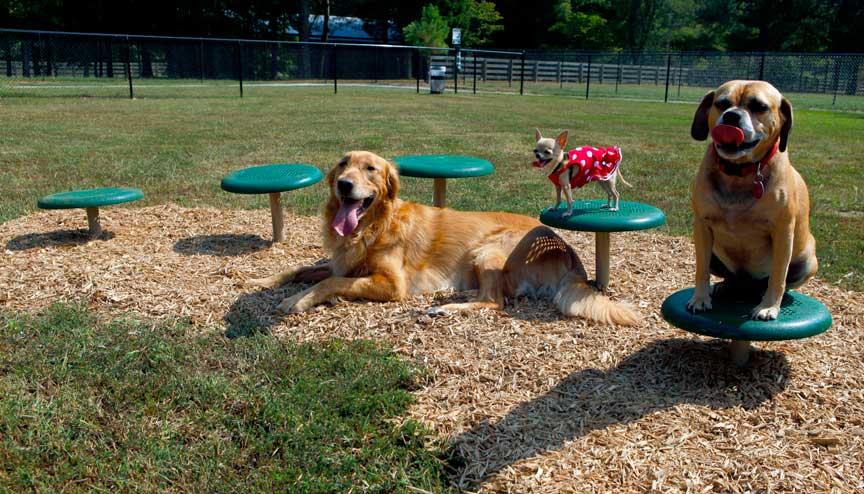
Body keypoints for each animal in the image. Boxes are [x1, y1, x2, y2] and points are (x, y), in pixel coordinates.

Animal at [253, 151, 636, 328]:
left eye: (370, 169)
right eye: (343, 164)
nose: (343, 184)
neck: (375, 226)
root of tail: (570, 254)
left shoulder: (393, 284)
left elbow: (330, 281)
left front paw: (298, 300)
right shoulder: (342, 262)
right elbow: (304, 269)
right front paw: (263, 279)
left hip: (489, 248)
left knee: (495, 302)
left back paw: (444, 307)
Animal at [688, 81, 816, 320]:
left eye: (759, 106)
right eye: (721, 103)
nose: (731, 116)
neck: (739, 173)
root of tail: (746, 285)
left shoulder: (783, 232)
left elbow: (778, 276)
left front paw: (768, 306)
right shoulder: (702, 226)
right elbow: (701, 268)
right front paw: (700, 298)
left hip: (807, 262)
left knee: (779, 281)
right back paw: (725, 286)